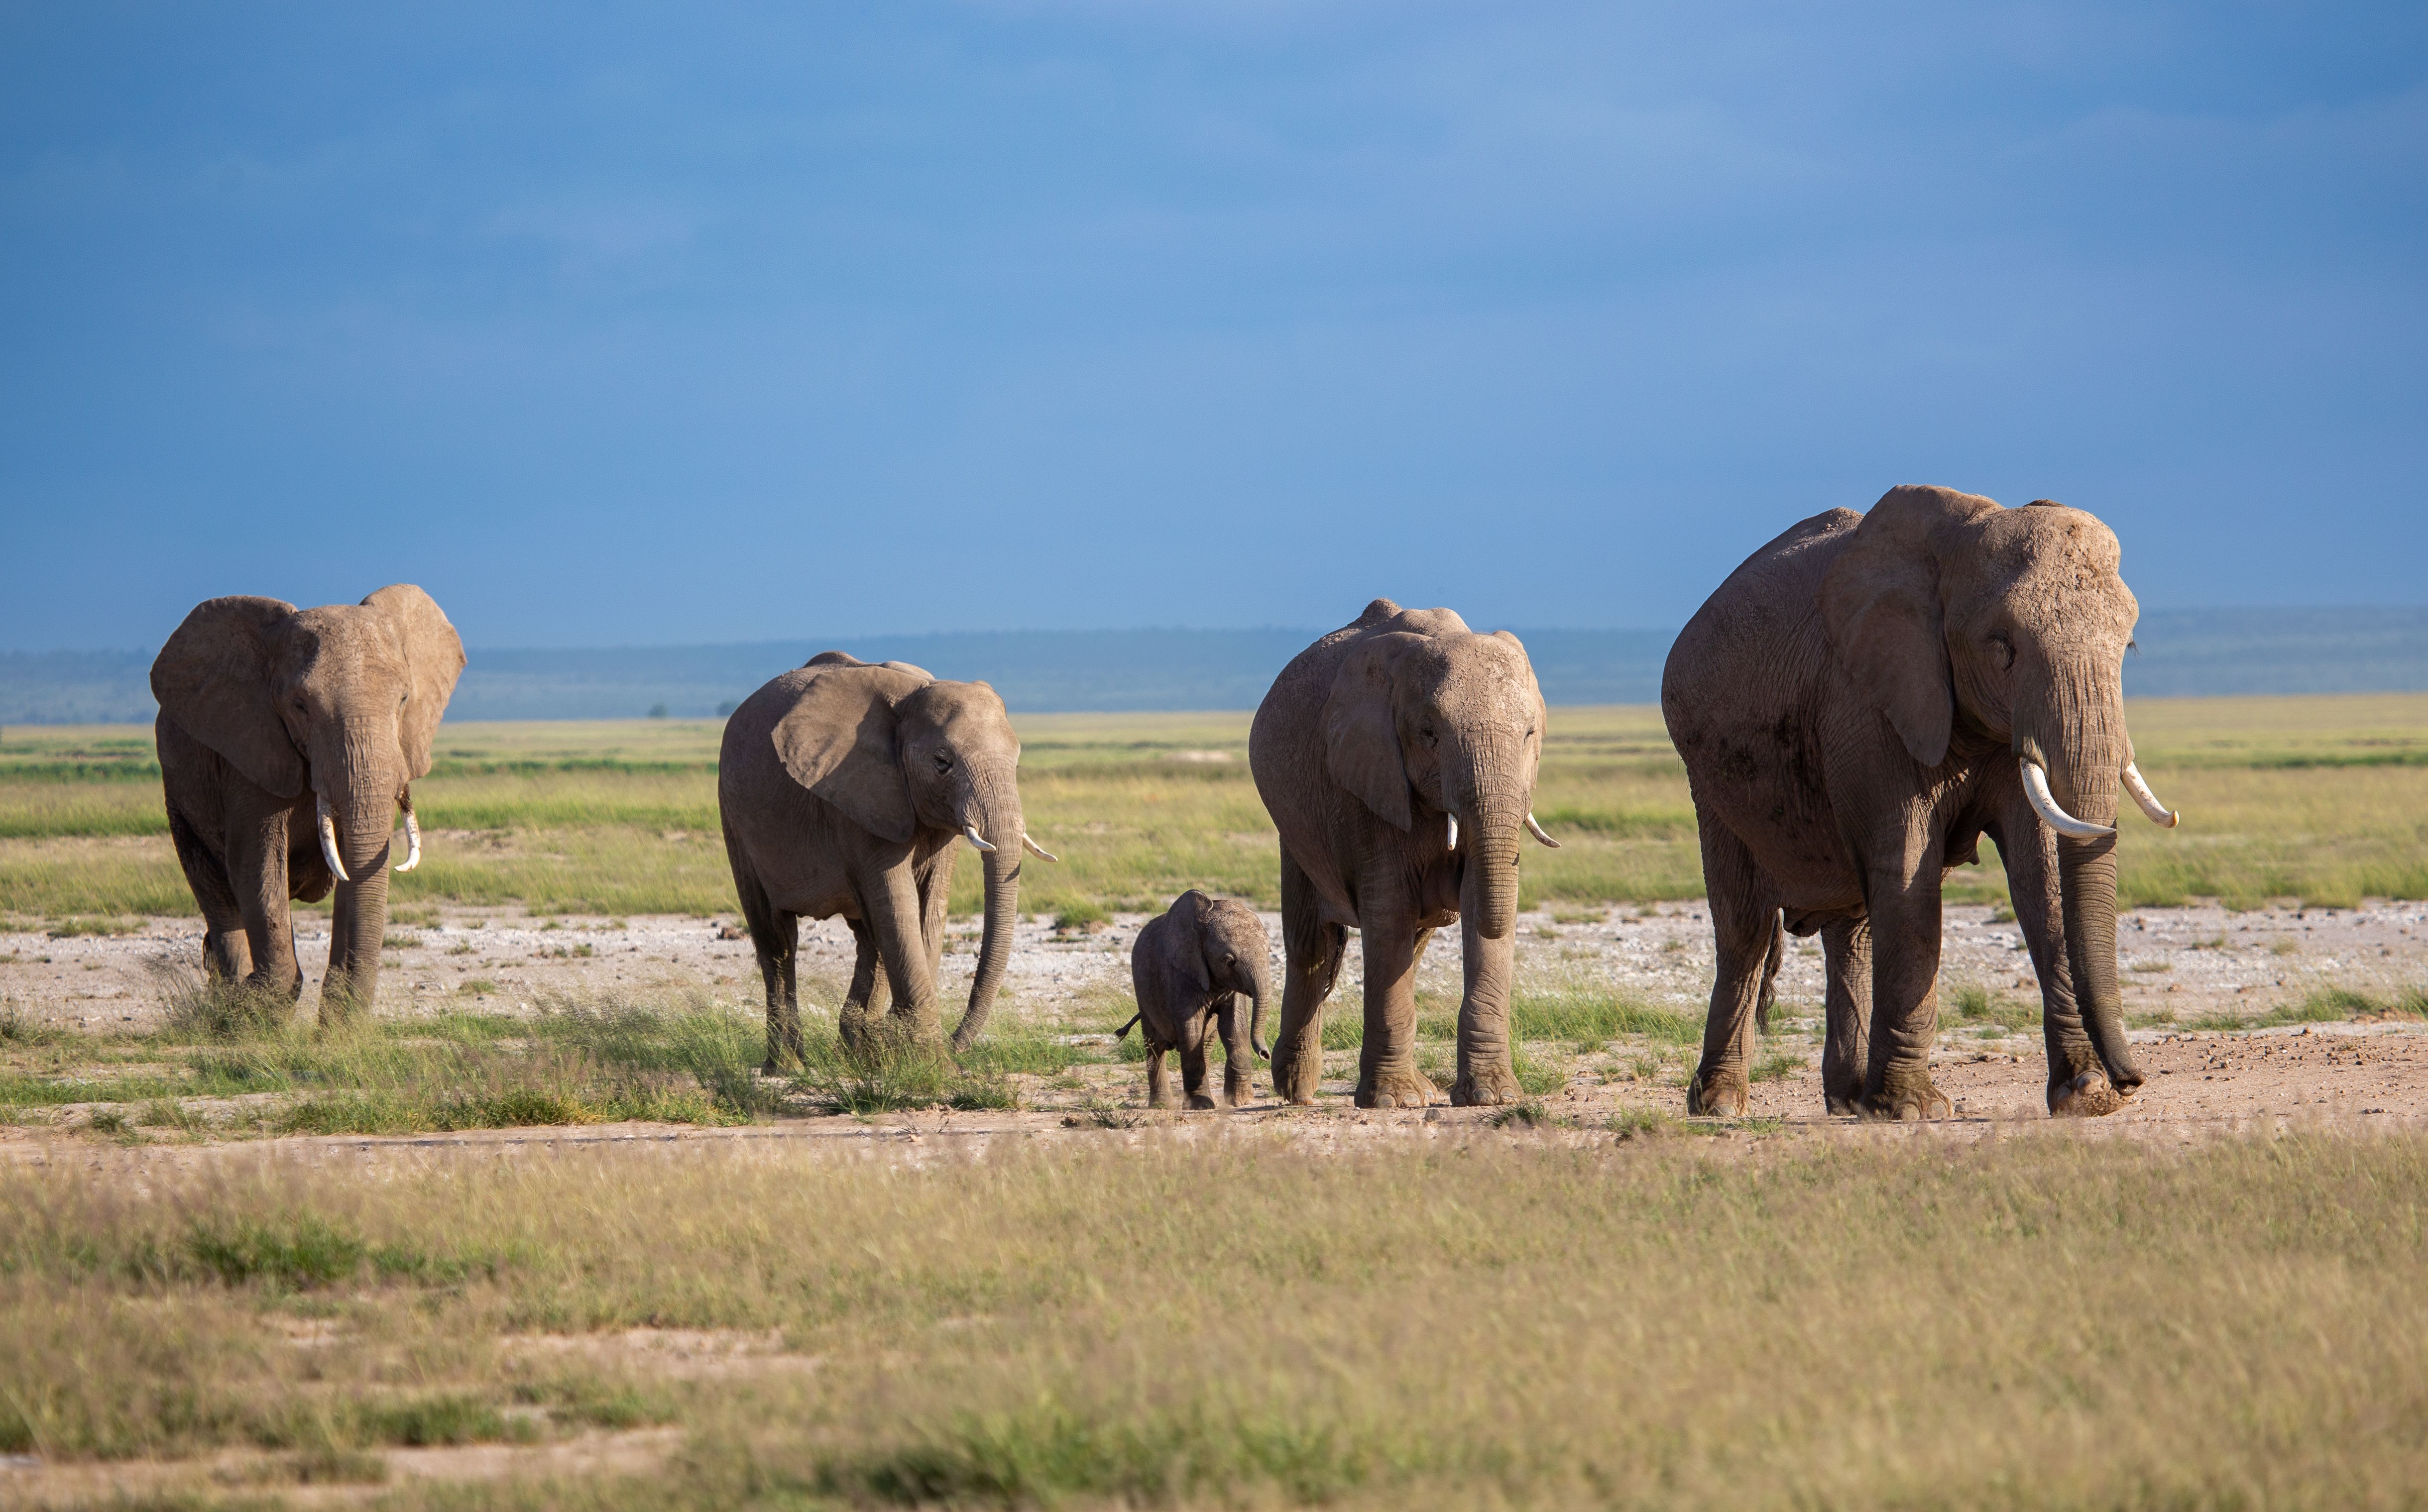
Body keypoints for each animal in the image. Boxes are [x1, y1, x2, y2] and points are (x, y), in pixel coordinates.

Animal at [151, 586, 465, 1022]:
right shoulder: (251, 746)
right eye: (299, 706)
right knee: (215, 891)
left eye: (404, 699)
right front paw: (260, 1004)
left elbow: (354, 864)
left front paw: (336, 1025)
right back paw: (231, 1005)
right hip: (179, 793)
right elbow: (257, 865)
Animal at [719, 652, 1056, 1068]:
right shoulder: (855, 796)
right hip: (734, 816)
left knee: (867, 936)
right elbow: (897, 901)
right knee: (777, 939)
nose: (957, 1046)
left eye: (1017, 764)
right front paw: (929, 1061)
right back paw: (788, 1066)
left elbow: (928, 905)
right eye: (942, 762)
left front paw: (897, 1048)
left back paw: (854, 1049)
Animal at [1116, 889, 1273, 1109]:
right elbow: (1191, 1028)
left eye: (1269, 952)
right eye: (1228, 961)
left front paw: (1241, 1102)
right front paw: (1201, 1106)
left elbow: (1235, 1026)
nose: (1266, 1054)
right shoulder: (1180, 975)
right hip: (1144, 994)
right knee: (1155, 1046)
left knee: (1205, 1043)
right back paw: (1162, 1106)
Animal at [1249, 599, 1562, 1108]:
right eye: (1428, 733)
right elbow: (1389, 909)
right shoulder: (1367, 780)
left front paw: (1492, 1096)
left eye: (1529, 734)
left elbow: (1479, 902)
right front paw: (1392, 1102)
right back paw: (1297, 1090)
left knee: (1413, 942)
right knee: (1312, 945)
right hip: (1293, 829)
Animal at [1661, 486, 2182, 1121]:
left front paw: (2085, 1094)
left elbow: (2040, 882)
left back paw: (1847, 1100)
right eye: (2001, 647)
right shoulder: (1868, 706)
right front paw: (1913, 1110)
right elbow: (1910, 878)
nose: (2133, 1079)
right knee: (1745, 928)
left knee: (1852, 930)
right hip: (1707, 777)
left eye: (2127, 645)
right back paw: (1718, 1104)